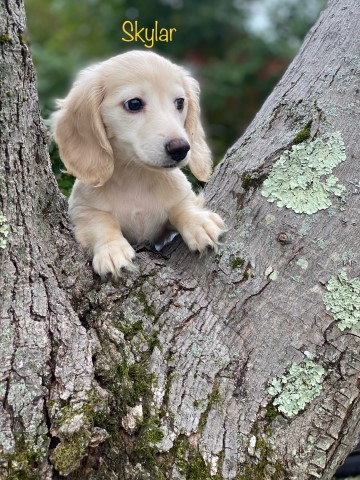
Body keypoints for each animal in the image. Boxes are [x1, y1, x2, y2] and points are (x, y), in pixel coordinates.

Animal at [52, 49, 225, 278]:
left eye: (180, 102)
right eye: (134, 104)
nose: (181, 149)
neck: (137, 178)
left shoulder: (179, 199)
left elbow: (183, 205)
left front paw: (199, 222)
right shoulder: (82, 209)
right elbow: (100, 222)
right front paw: (112, 249)